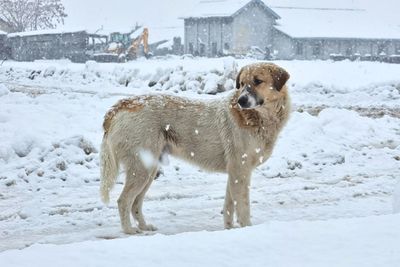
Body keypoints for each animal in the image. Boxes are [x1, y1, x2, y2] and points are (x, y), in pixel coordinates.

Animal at [100, 62, 290, 234]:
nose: (241, 101)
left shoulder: (235, 173)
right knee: (123, 201)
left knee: (135, 203)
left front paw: (229, 230)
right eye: (242, 83)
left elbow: (229, 206)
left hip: (149, 170)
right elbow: (243, 208)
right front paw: (247, 230)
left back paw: (144, 227)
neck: (256, 119)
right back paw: (129, 230)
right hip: (141, 170)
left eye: (258, 81)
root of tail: (122, 105)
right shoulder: (240, 171)